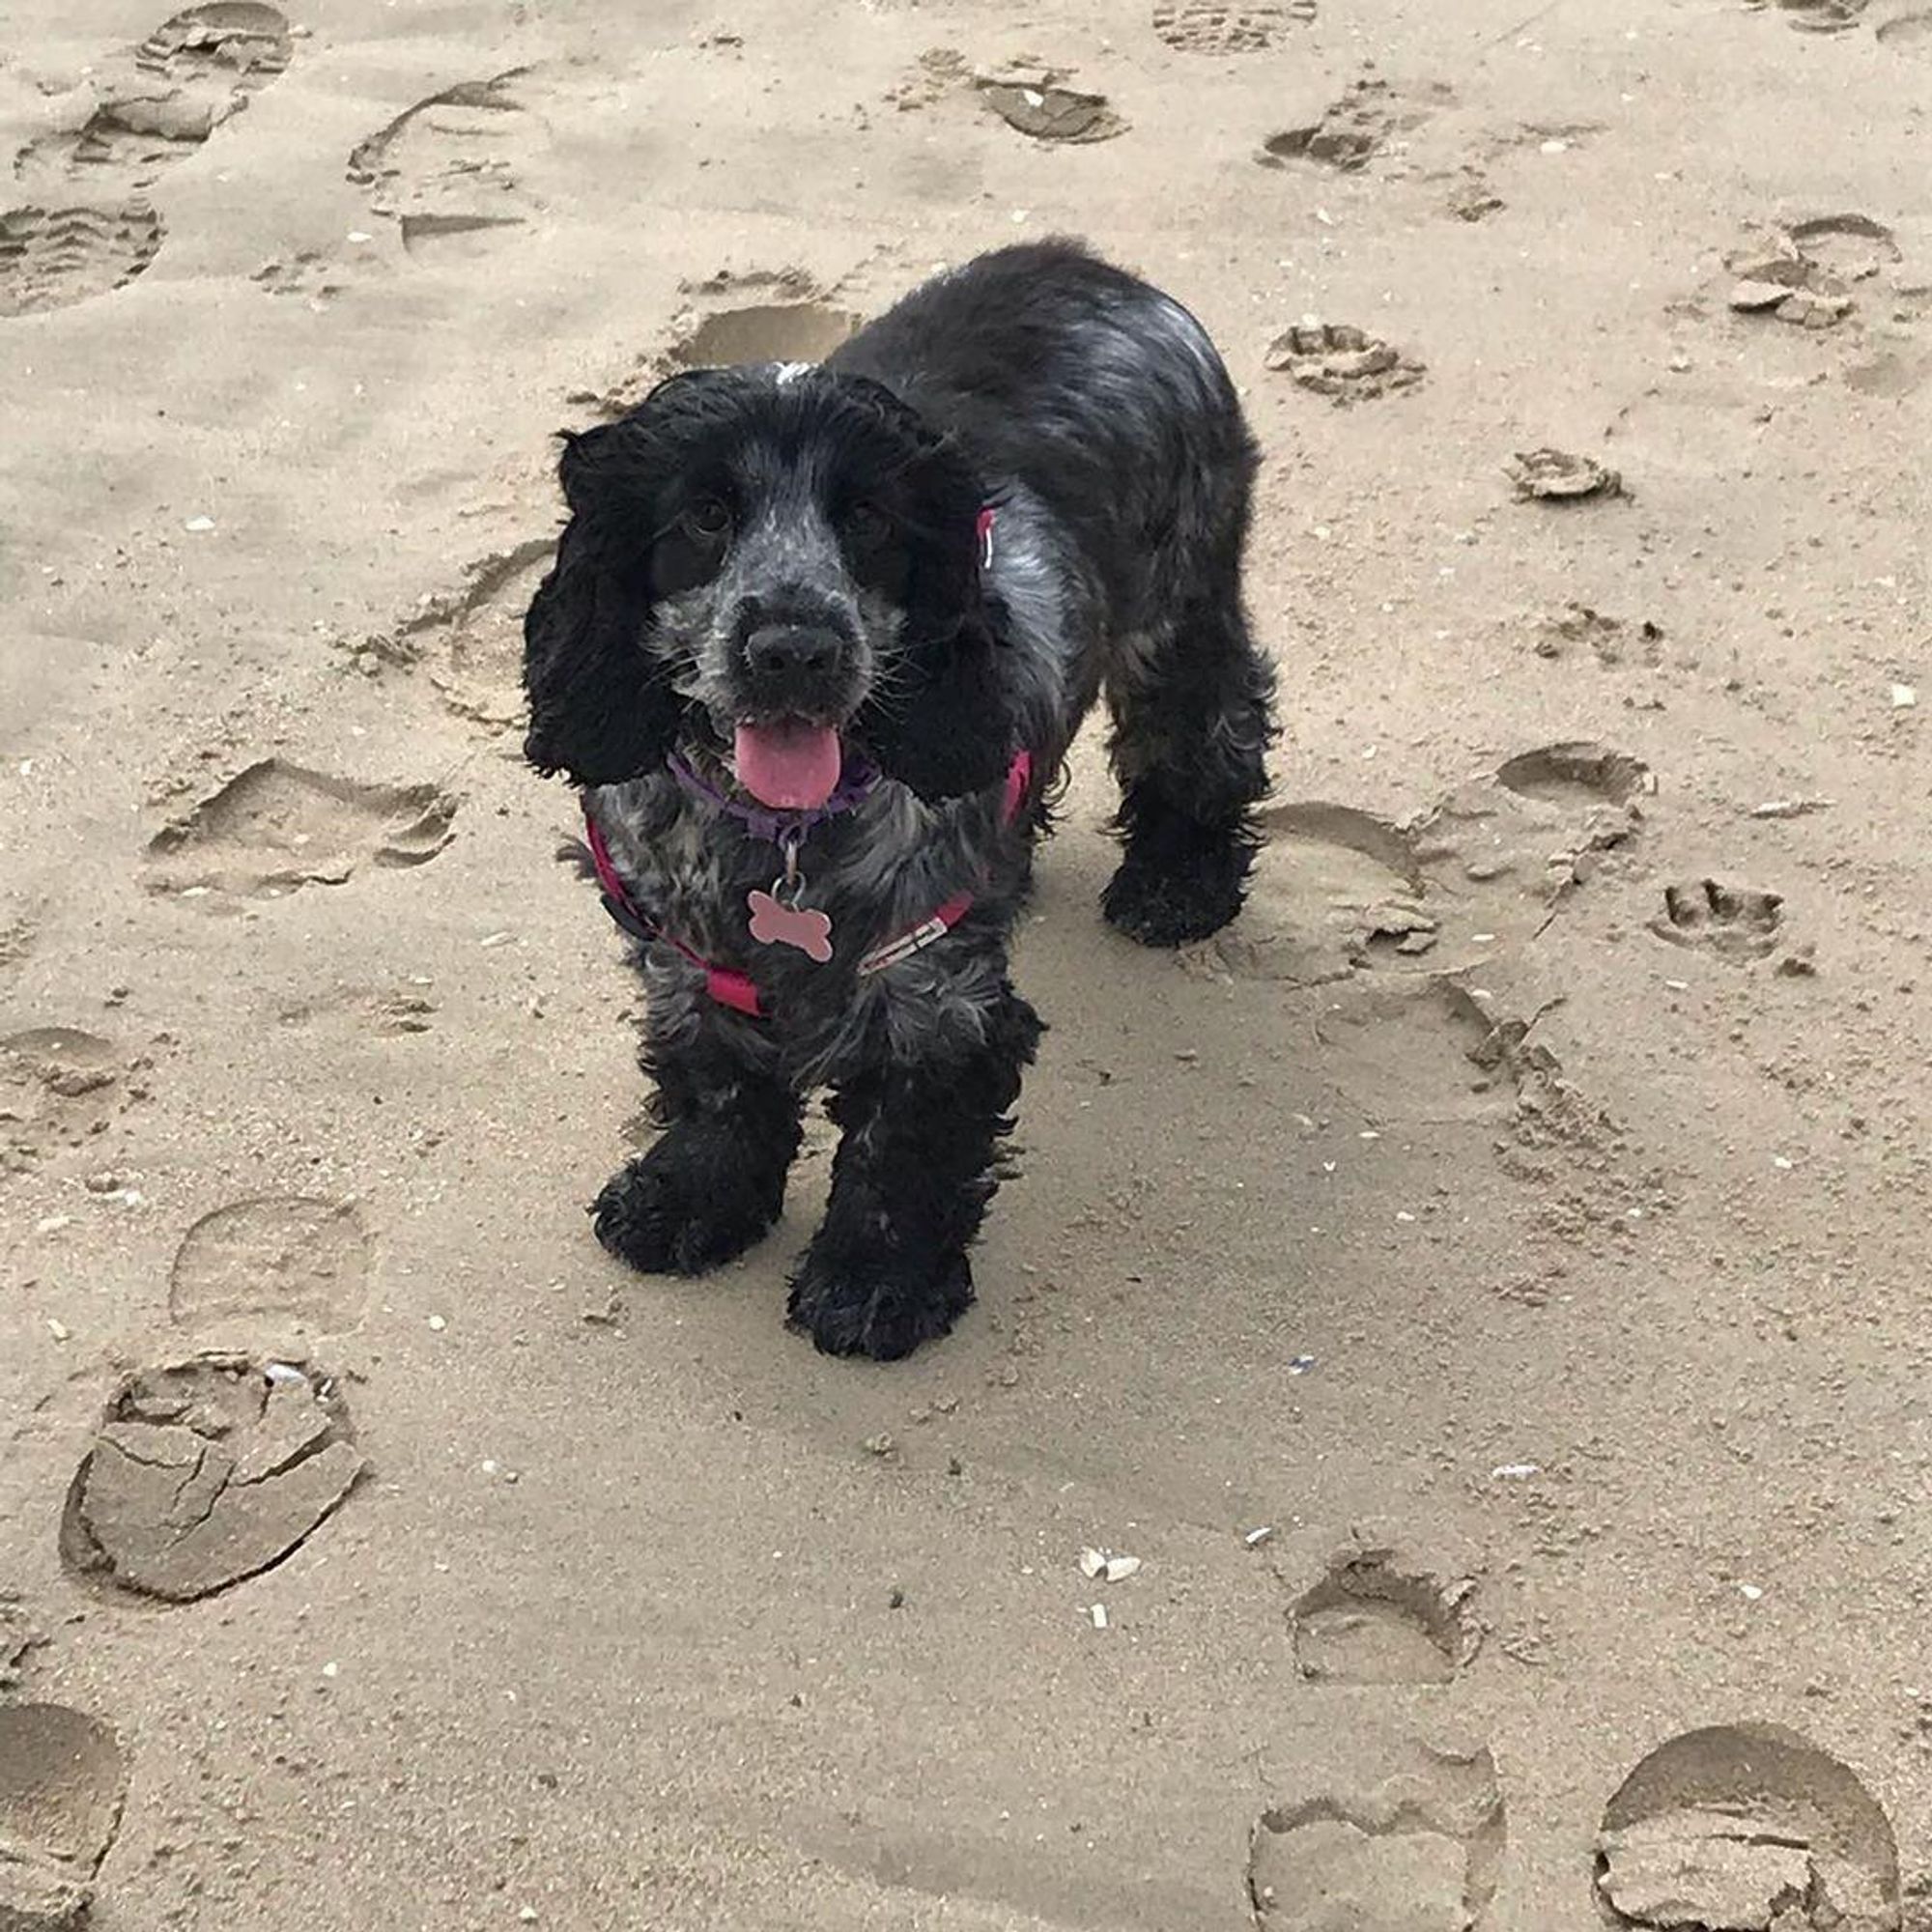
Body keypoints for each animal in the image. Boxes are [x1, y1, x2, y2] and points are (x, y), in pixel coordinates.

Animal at [529, 238, 1275, 1360]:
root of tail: (1087, 264)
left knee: (1207, 721)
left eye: (869, 519)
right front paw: (686, 1202)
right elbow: (713, 1086)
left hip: (1177, 597)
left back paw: (1177, 883)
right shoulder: (686, 963)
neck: (780, 840)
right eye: (704, 516)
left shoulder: (934, 997)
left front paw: (877, 1284)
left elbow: (901, 1146)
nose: (793, 649)